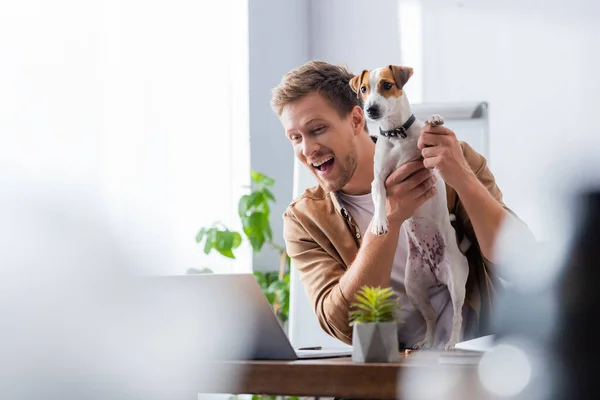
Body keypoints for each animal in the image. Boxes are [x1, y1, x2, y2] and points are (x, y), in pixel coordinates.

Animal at [350, 65, 472, 350]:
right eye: (364, 89)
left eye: (386, 85)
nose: (371, 109)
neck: (397, 136)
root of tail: (436, 274)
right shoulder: (378, 180)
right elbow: (380, 198)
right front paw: (380, 223)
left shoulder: (427, 163)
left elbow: (428, 137)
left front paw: (435, 119)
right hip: (414, 288)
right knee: (430, 317)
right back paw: (425, 343)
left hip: (456, 282)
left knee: (458, 316)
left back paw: (451, 343)